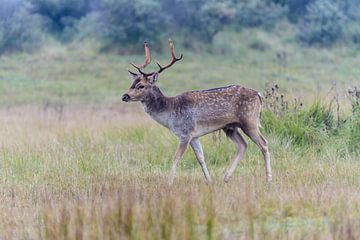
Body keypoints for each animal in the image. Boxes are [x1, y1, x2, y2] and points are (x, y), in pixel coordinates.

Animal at [122, 39, 272, 184]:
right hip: (230, 127)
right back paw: (225, 177)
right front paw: (209, 181)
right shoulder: (194, 136)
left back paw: (268, 179)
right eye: (132, 84)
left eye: (141, 86)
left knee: (264, 143)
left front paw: (169, 182)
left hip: (250, 121)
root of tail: (258, 95)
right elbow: (201, 158)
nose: (125, 96)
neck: (170, 114)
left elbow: (176, 157)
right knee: (243, 145)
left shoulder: (186, 132)